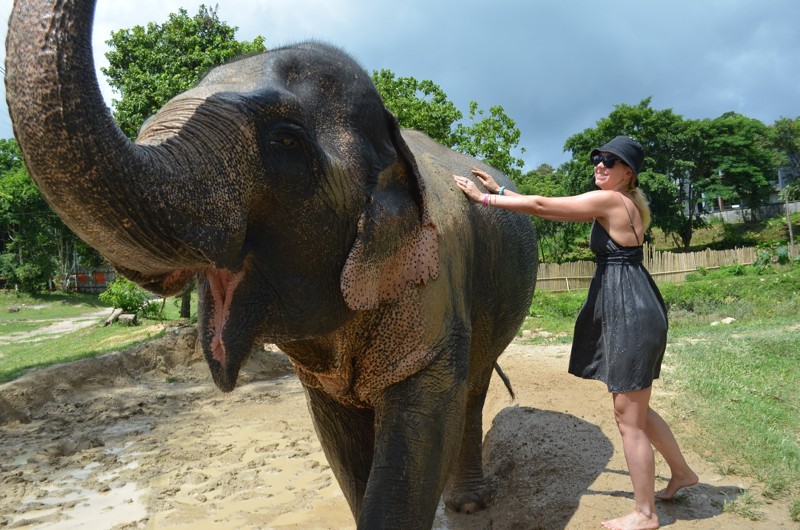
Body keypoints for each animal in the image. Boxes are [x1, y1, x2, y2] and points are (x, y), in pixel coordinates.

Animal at [6, 1, 536, 524]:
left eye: (286, 142)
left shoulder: (434, 292)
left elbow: (417, 443)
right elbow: (343, 450)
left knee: (473, 390)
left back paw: (467, 505)